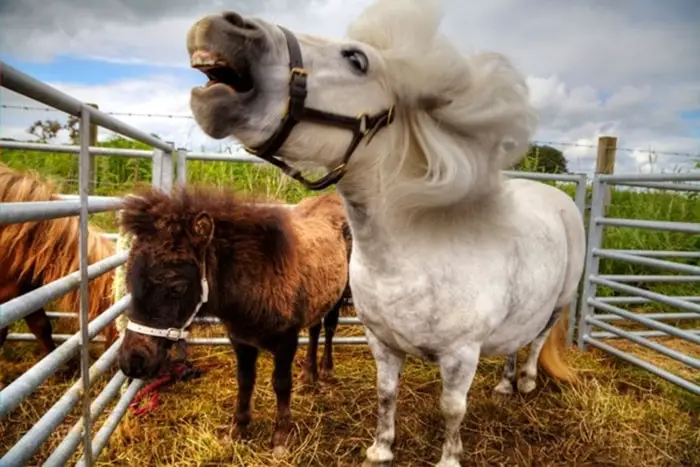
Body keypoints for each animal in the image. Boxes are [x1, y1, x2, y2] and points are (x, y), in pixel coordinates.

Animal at [117, 186, 352, 458]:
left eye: (176, 288)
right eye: (129, 280)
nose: (131, 362)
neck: (259, 279)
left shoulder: (286, 341)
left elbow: (281, 384)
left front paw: (281, 437)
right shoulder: (241, 340)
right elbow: (245, 381)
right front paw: (237, 429)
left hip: (338, 295)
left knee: (329, 328)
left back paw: (326, 370)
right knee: (314, 330)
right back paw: (308, 375)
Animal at [185, 1, 584, 466]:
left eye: (357, 60)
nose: (220, 25)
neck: (411, 255)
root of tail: (559, 199)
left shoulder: (461, 355)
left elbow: (452, 408)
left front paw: (449, 457)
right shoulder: (381, 343)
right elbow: (386, 393)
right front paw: (381, 449)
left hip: (558, 304)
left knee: (536, 342)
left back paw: (526, 381)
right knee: (516, 342)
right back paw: (504, 384)